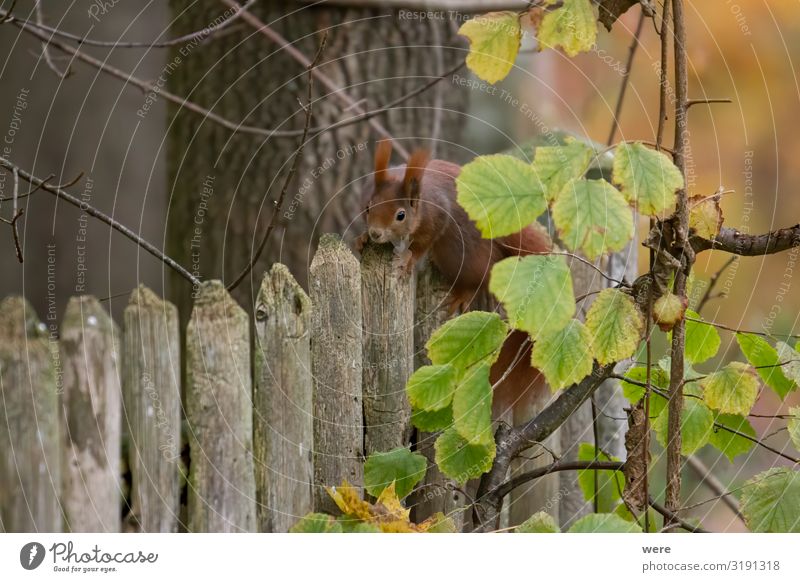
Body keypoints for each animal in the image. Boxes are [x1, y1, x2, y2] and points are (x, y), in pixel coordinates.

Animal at [358, 140, 552, 416]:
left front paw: (407, 259)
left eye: (400, 215)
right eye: (368, 207)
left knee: (480, 276)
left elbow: (422, 243)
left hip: (461, 254)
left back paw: (462, 294)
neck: (421, 196)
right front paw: (361, 238)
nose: (375, 233)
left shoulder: (436, 218)